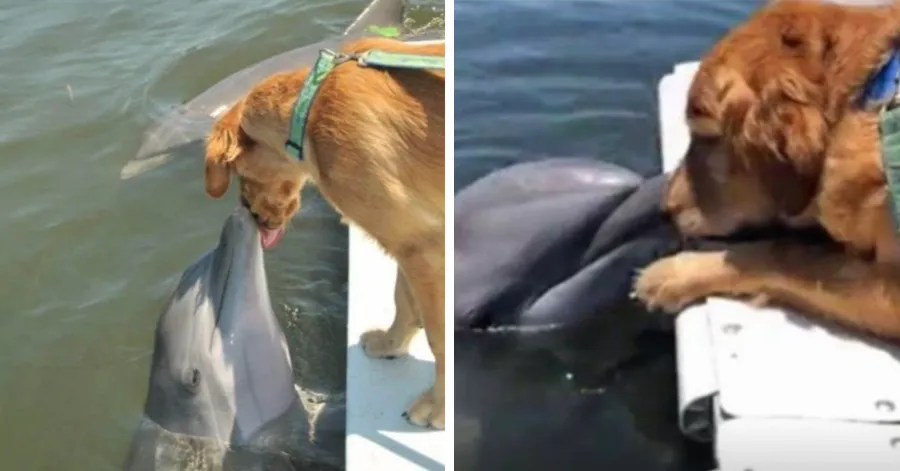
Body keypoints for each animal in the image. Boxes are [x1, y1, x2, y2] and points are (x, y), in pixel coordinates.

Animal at [202, 36, 444, 428]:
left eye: (240, 173)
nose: (252, 215)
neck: (310, 110)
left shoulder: (425, 248)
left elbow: (439, 337)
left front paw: (437, 407)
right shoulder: (412, 238)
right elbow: (403, 299)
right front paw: (390, 345)